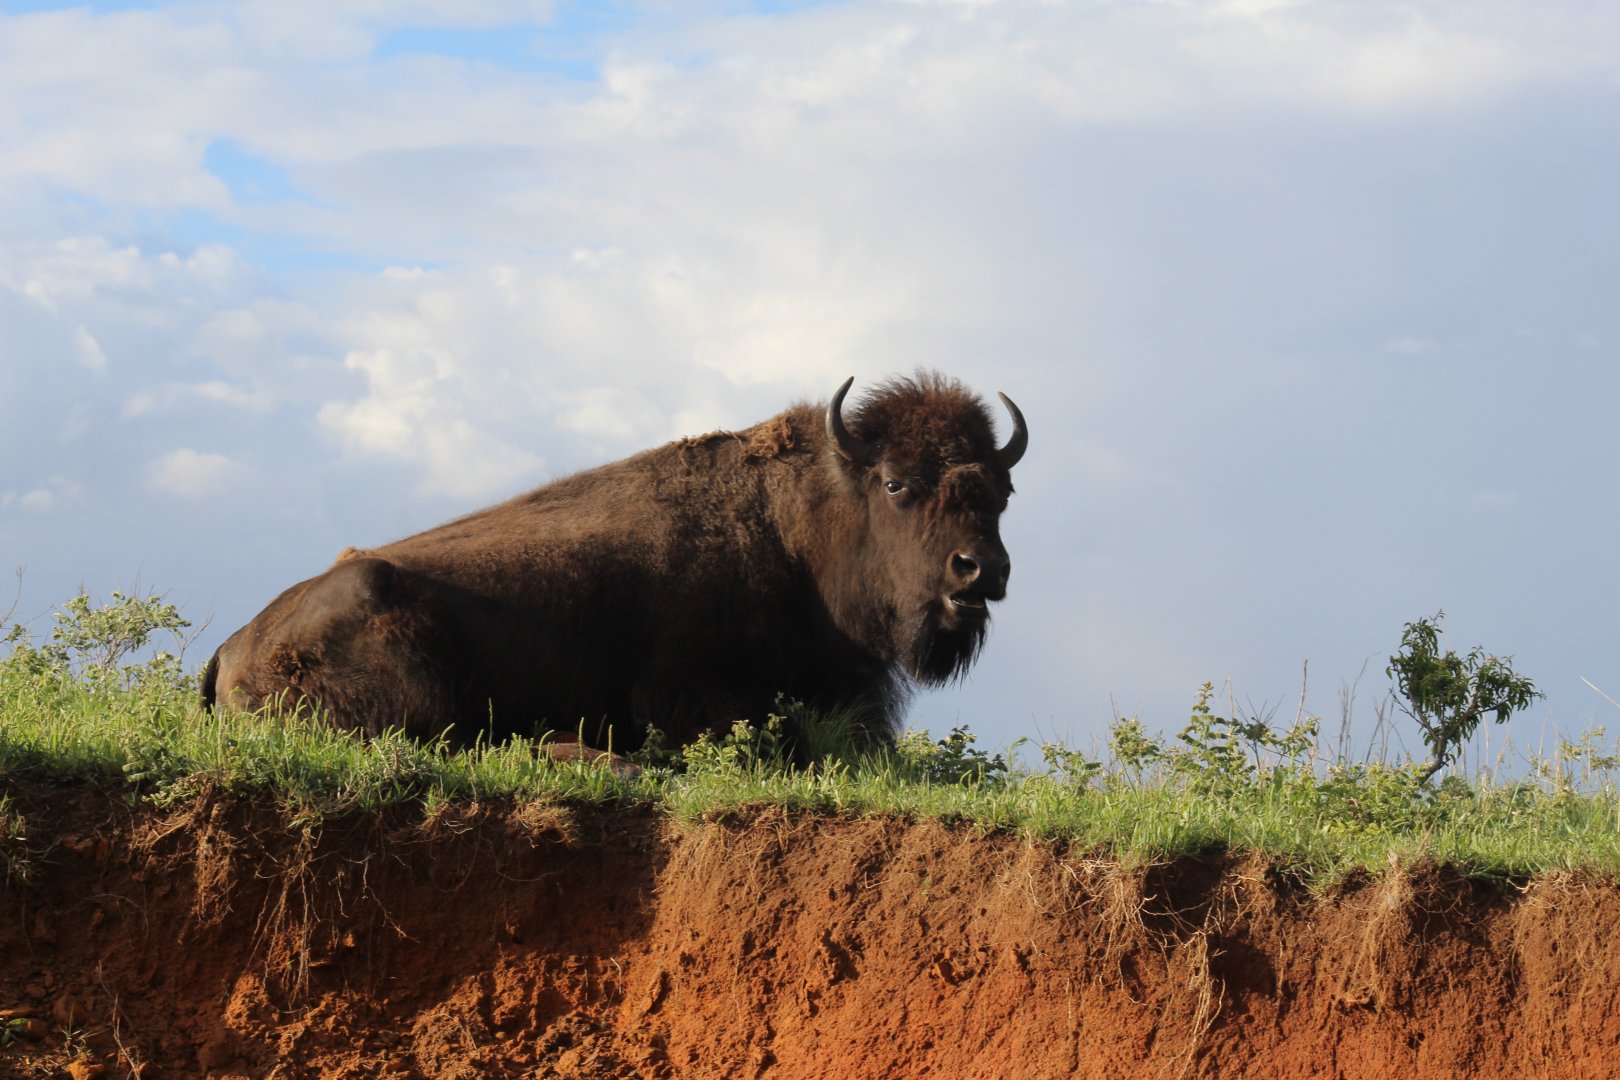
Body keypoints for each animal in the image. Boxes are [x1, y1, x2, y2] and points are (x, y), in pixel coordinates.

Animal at [202, 371, 1027, 755]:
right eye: (895, 483)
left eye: (1002, 490)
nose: (980, 570)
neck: (799, 525)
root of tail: (231, 649)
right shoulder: (685, 697)